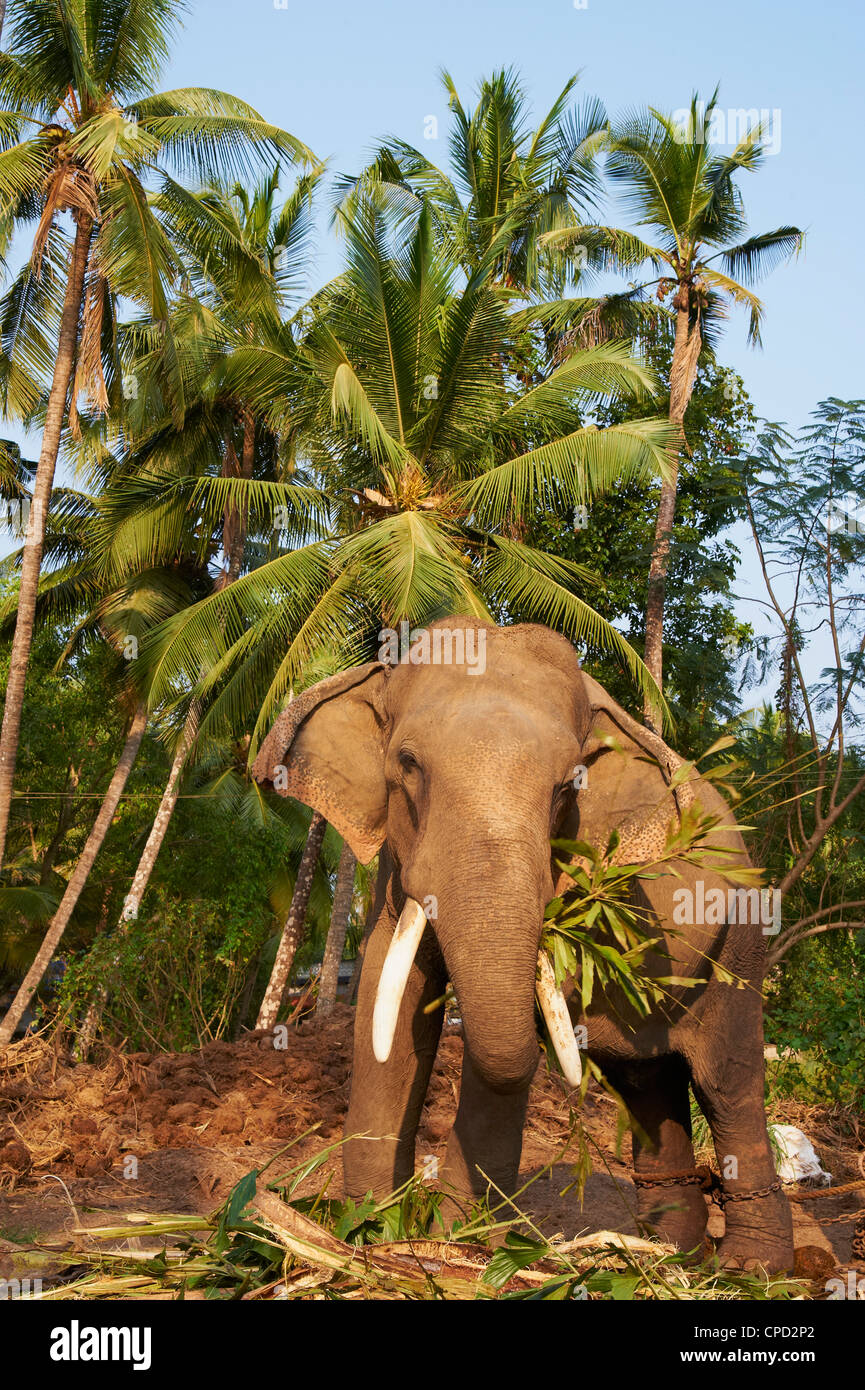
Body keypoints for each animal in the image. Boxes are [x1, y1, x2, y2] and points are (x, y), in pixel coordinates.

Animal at [254, 619, 795, 1273]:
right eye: (407, 765)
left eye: (568, 785)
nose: (432, 1231)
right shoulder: (394, 863)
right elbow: (391, 1000)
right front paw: (366, 1233)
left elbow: (511, 1039)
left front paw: (456, 1248)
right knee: (647, 1084)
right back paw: (670, 1258)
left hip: (739, 944)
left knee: (726, 1083)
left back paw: (754, 1269)